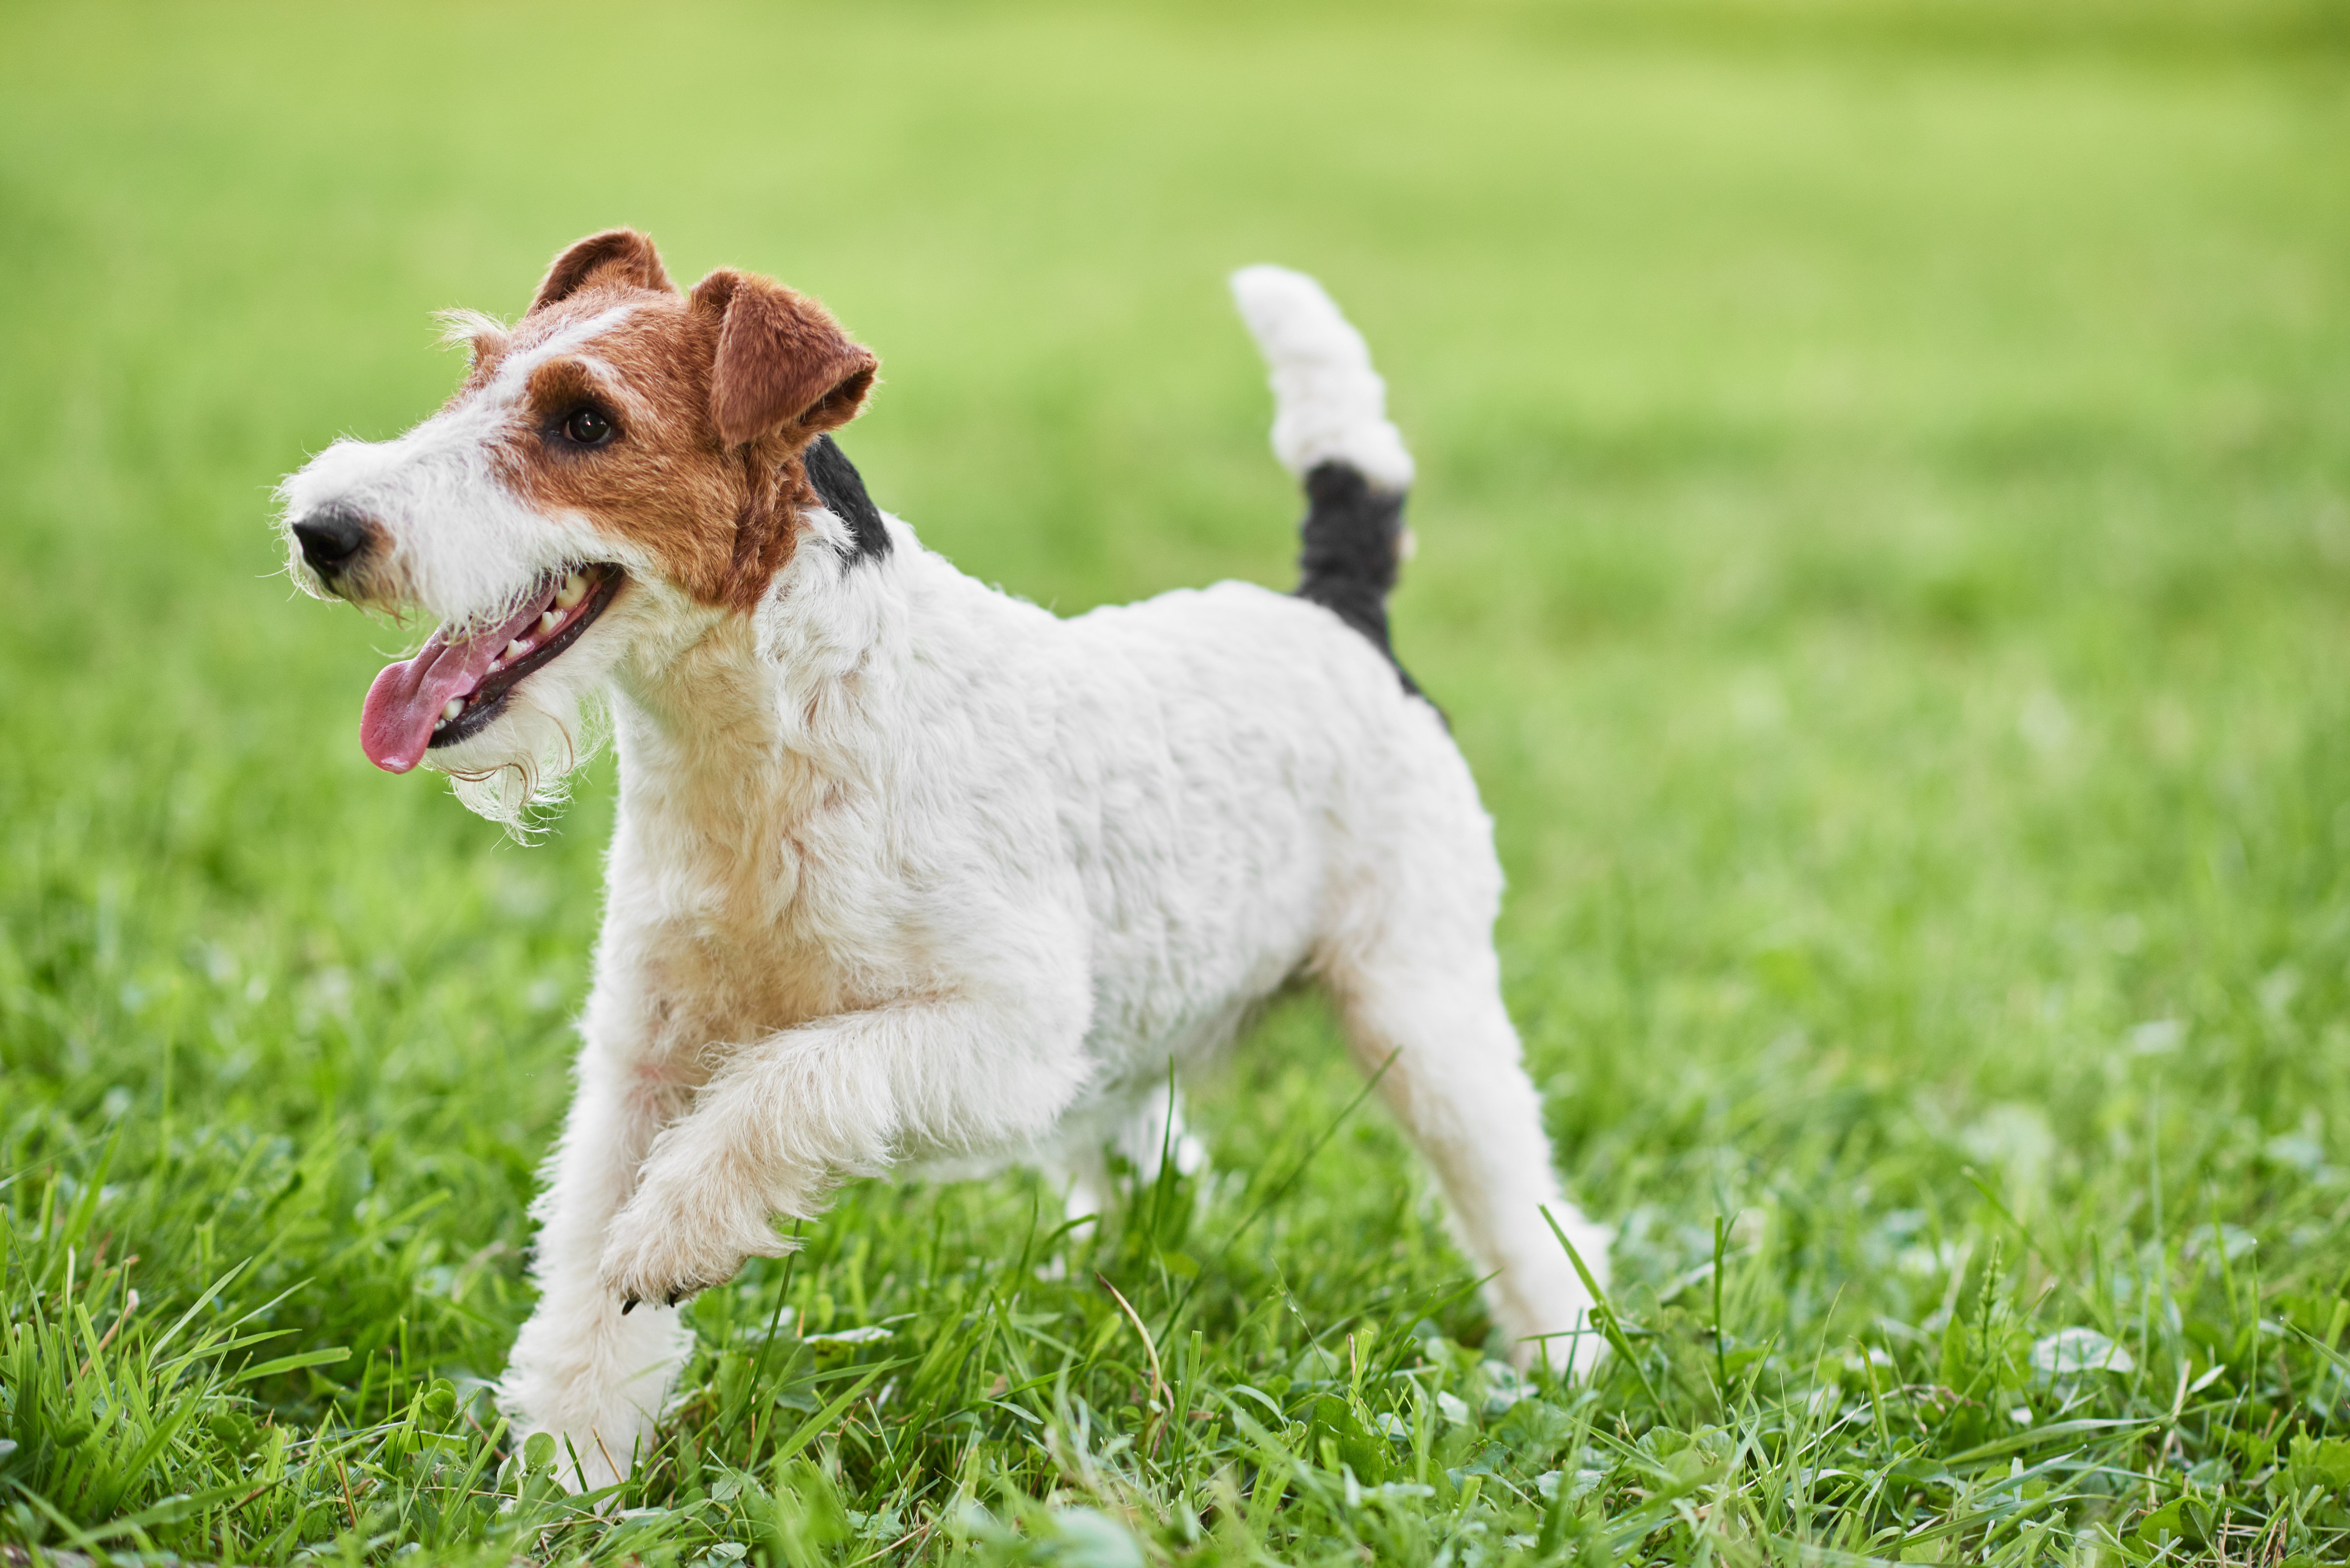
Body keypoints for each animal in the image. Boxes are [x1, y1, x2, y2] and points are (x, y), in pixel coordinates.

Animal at [267, 230, 1607, 1486]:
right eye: (476, 371)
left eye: (586, 420)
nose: (321, 530)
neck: (776, 734)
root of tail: (1341, 613)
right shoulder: (643, 1058)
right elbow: (589, 1295)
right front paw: (567, 1477)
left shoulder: (1001, 1034)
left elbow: (788, 1084)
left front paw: (676, 1239)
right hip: (1143, 1036)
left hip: (1417, 1009)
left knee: (1528, 1211)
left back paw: (1569, 1361)